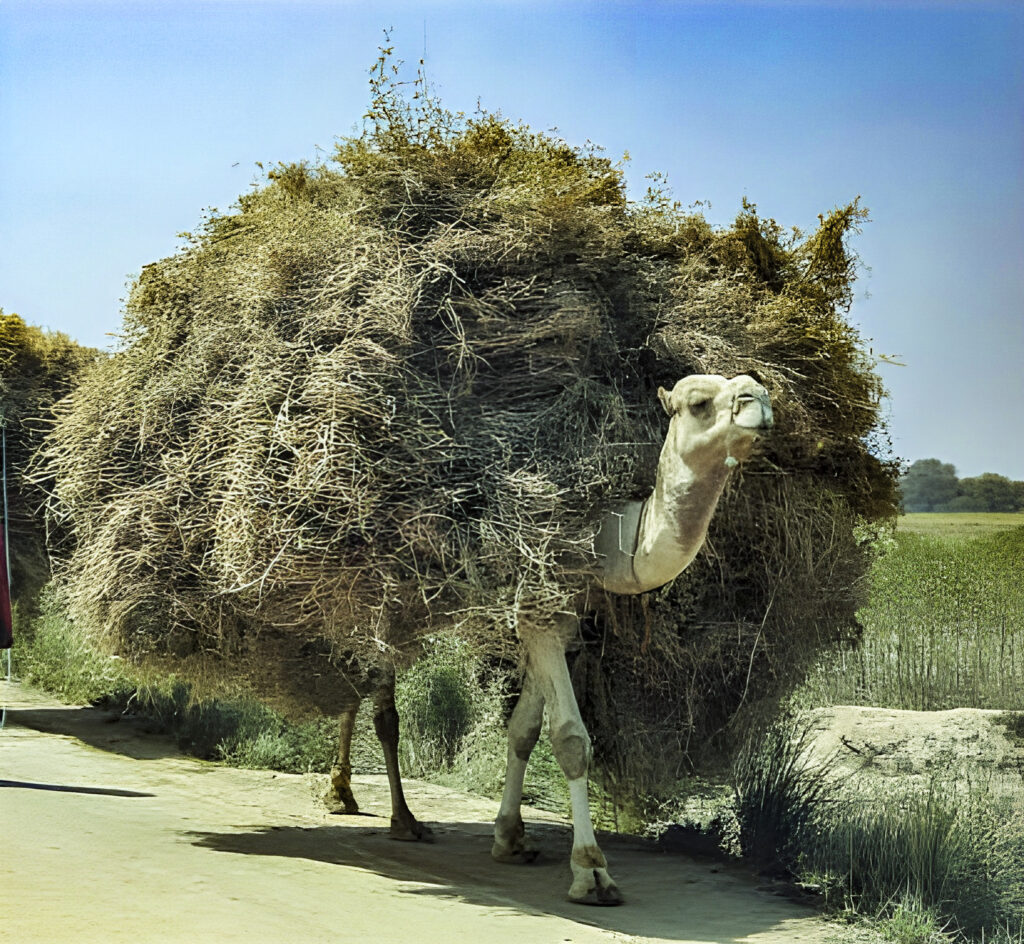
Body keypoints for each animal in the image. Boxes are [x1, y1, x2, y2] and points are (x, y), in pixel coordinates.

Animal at [323, 374, 770, 905]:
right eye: (699, 403)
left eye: (755, 387)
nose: (759, 402)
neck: (604, 539)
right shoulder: (539, 610)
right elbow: (571, 739)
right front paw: (591, 872)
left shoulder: (559, 620)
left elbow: (524, 729)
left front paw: (509, 838)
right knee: (374, 696)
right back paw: (383, 812)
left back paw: (353, 796)